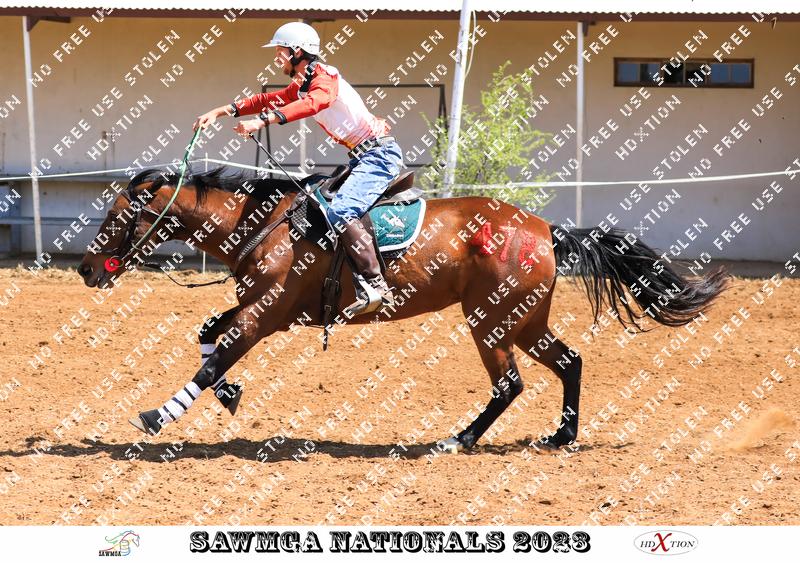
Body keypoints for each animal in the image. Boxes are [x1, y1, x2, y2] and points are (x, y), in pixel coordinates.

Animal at [77, 166, 730, 453]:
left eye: (117, 215)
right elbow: (208, 336)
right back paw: (560, 437)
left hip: (491, 322)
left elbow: (216, 355)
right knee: (569, 363)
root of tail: (546, 228)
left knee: (511, 384)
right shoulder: (265, 312)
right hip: (523, 320)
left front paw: (157, 416)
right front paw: (230, 395)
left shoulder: (264, 314)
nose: (85, 269)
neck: (267, 225)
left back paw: (458, 440)